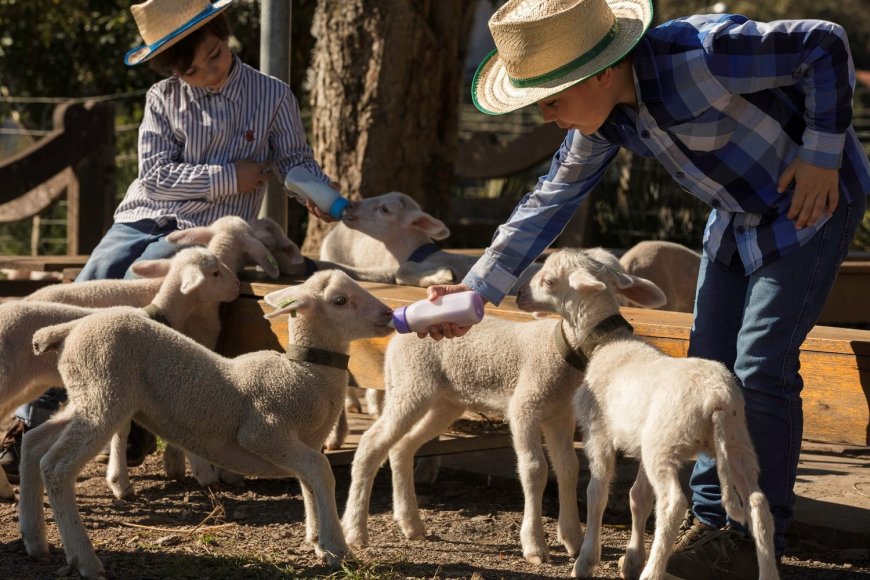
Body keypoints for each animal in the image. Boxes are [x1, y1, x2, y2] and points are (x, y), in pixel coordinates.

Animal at [0, 247, 240, 500]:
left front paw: (119, 481)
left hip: (27, 384)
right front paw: (204, 474)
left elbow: (122, 430)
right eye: (215, 273)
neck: (159, 312)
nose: (237, 285)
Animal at [20, 268, 396, 576]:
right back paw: (84, 558)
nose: (390, 314)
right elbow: (321, 471)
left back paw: (34, 538)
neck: (307, 375)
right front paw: (337, 548)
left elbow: (309, 481)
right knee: (57, 467)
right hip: (102, 392)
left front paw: (318, 540)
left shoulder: (303, 442)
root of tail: (70, 329)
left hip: (85, 394)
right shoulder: (263, 431)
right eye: (340, 300)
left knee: (34, 443)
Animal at [340, 251, 640, 564]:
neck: (562, 348)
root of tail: (399, 334)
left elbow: (568, 468)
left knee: (402, 447)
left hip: (444, 401)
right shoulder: (525, 406)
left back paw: (411, 524)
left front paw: (572, 538)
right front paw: (534, 545)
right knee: (371, 443)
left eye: (548, 281)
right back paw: (356, 531)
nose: (520, 294)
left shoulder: (560, 415)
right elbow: (534, 470)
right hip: (410, 385)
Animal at [516, 248, 784, 580]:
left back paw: (653, 571)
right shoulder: (640, 439)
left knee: (672, 505)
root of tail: (717, 399)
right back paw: (767, 571)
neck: (608, 343)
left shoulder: (598, 432)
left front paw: (586, 560)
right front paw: (631, 559)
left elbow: (597, 493)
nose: (519, 295)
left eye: (549, 281)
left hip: (666, 444)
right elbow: (638, 498)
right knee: (758, 504)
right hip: (736, 444)